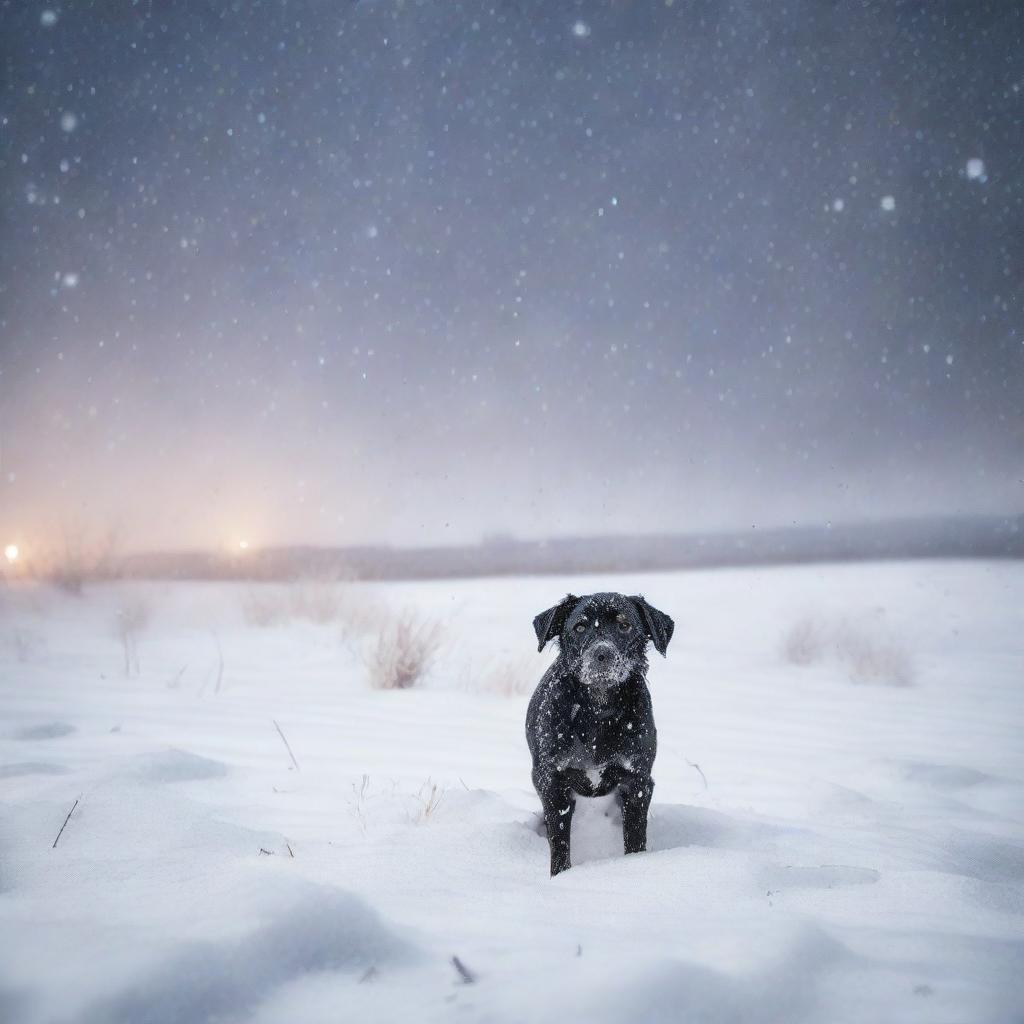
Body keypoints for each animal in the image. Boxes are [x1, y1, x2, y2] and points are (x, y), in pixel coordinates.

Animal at [524, 593, 675, 872]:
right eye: (580, 627)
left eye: (624, 625)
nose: (602, 653)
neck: (597, 711)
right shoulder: (552, 782)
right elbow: (559, 843)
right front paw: (560, 875)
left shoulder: (637, 781)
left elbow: (635, 838)